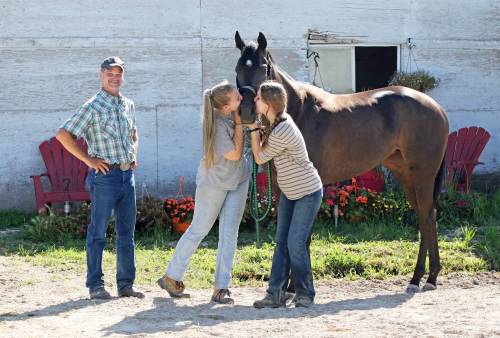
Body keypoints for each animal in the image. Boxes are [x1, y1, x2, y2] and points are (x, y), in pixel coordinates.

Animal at [236, 31, 452, 294]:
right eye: (238, 68)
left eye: (263, 68)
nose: (246, 111)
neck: (298, 113)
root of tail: (436, 108)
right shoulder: (281, 187)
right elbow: (285, 233)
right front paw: (288, 286)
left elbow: (302, 236)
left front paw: (297, 286)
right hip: (406, 176)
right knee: (425, 217)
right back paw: (421, 277)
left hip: (422, 175)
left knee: (428, 217)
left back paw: (426, 277)